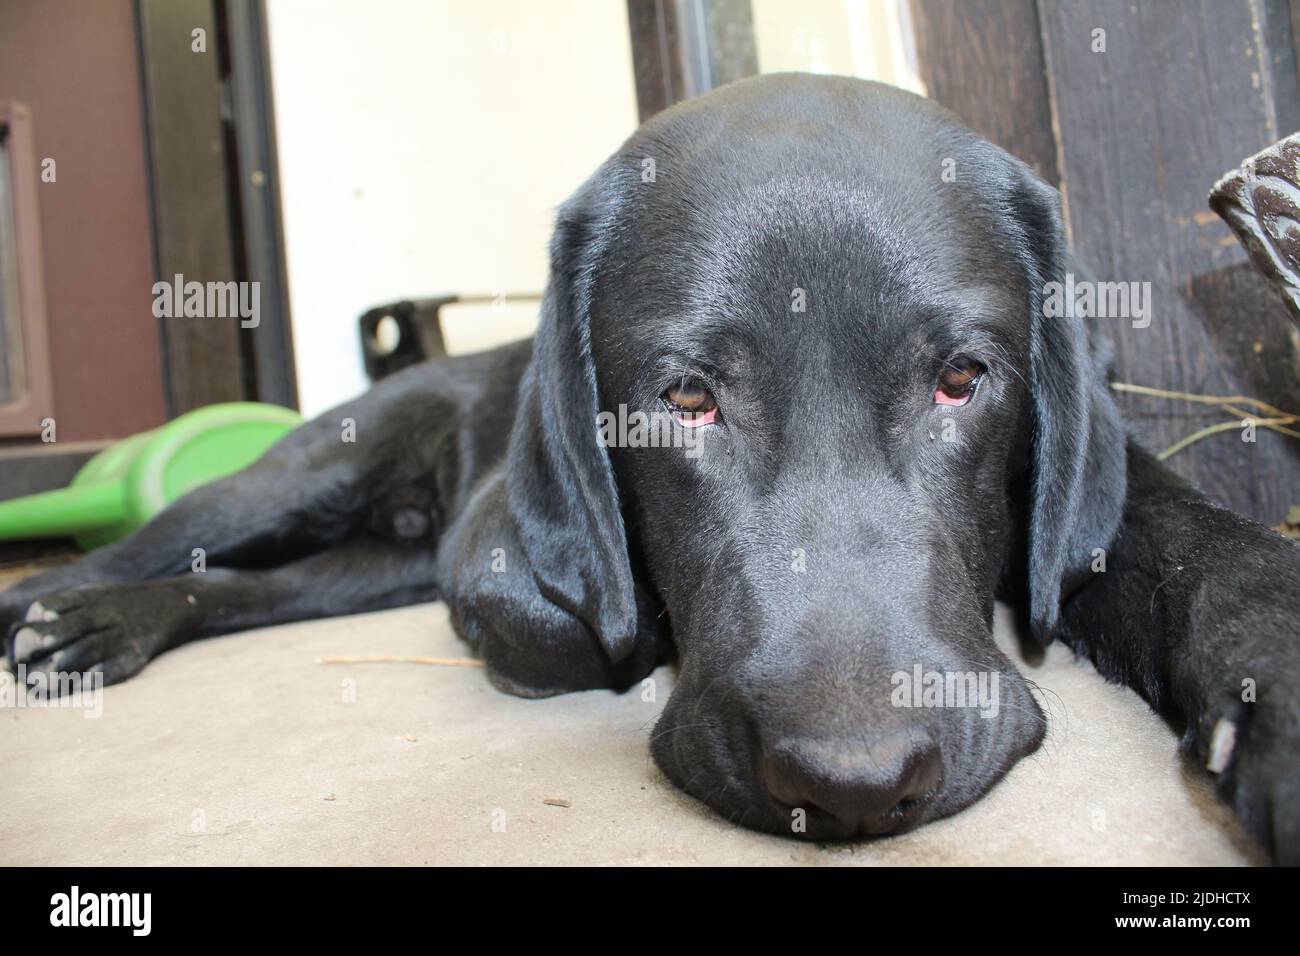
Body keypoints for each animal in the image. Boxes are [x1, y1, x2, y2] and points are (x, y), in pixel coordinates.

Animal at [5, 70, 1294, 858]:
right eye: (684, 398)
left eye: (962, 378)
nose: (855, 778)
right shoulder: (497, 552)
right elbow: (557, 618)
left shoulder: (1090, 493)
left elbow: (1200, 552)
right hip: (298, 477)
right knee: (160, 545)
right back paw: (60, 609)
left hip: (362, 566)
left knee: (243, 589)